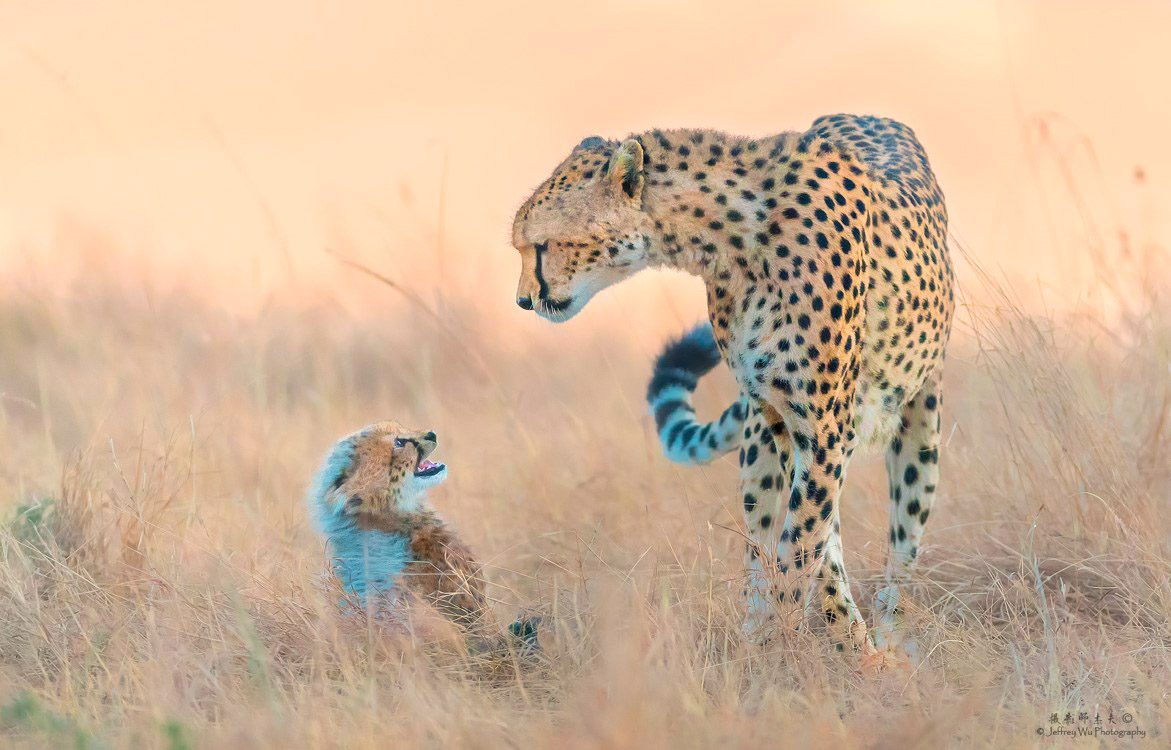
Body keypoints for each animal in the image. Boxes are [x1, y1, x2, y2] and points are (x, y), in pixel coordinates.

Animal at [512, 111, 950, 656]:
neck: (729, 240)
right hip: (759, 441)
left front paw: (828, 652)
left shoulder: (825, 428)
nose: (522, 301)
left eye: (542, 245)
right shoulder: (786, 421)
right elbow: (812, 548)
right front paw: (809, 643)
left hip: (920, 426)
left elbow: (803, 549)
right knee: (762, 535)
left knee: (903, 542)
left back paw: (889, 633)